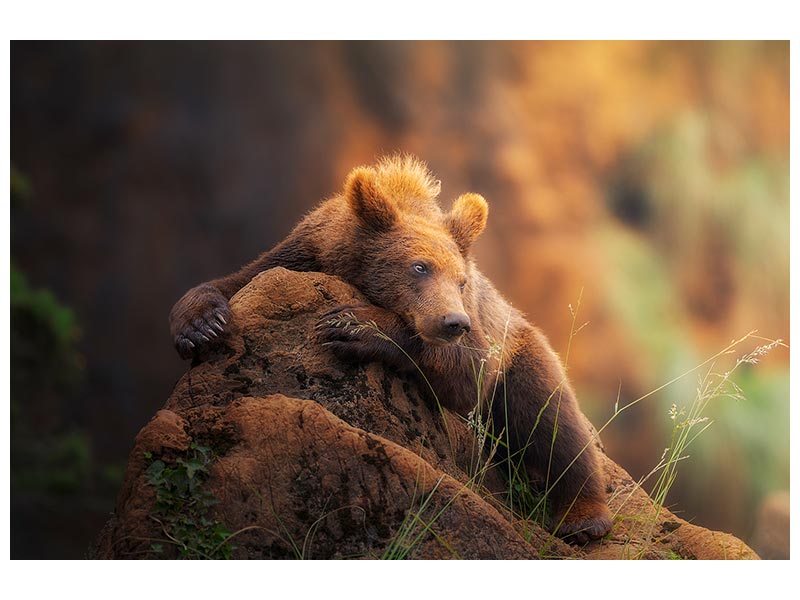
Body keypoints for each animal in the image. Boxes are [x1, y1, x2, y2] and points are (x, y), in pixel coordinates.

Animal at [169, 154, 613, 543]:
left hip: (520, 348)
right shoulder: (301, 254)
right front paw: (201, 324)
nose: (453, 322)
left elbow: (467, 374)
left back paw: (584, 519)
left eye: (461, 280)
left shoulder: (480, 335)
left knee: (551, 421)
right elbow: (237, 281)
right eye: (419, 267)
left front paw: (352, 325)